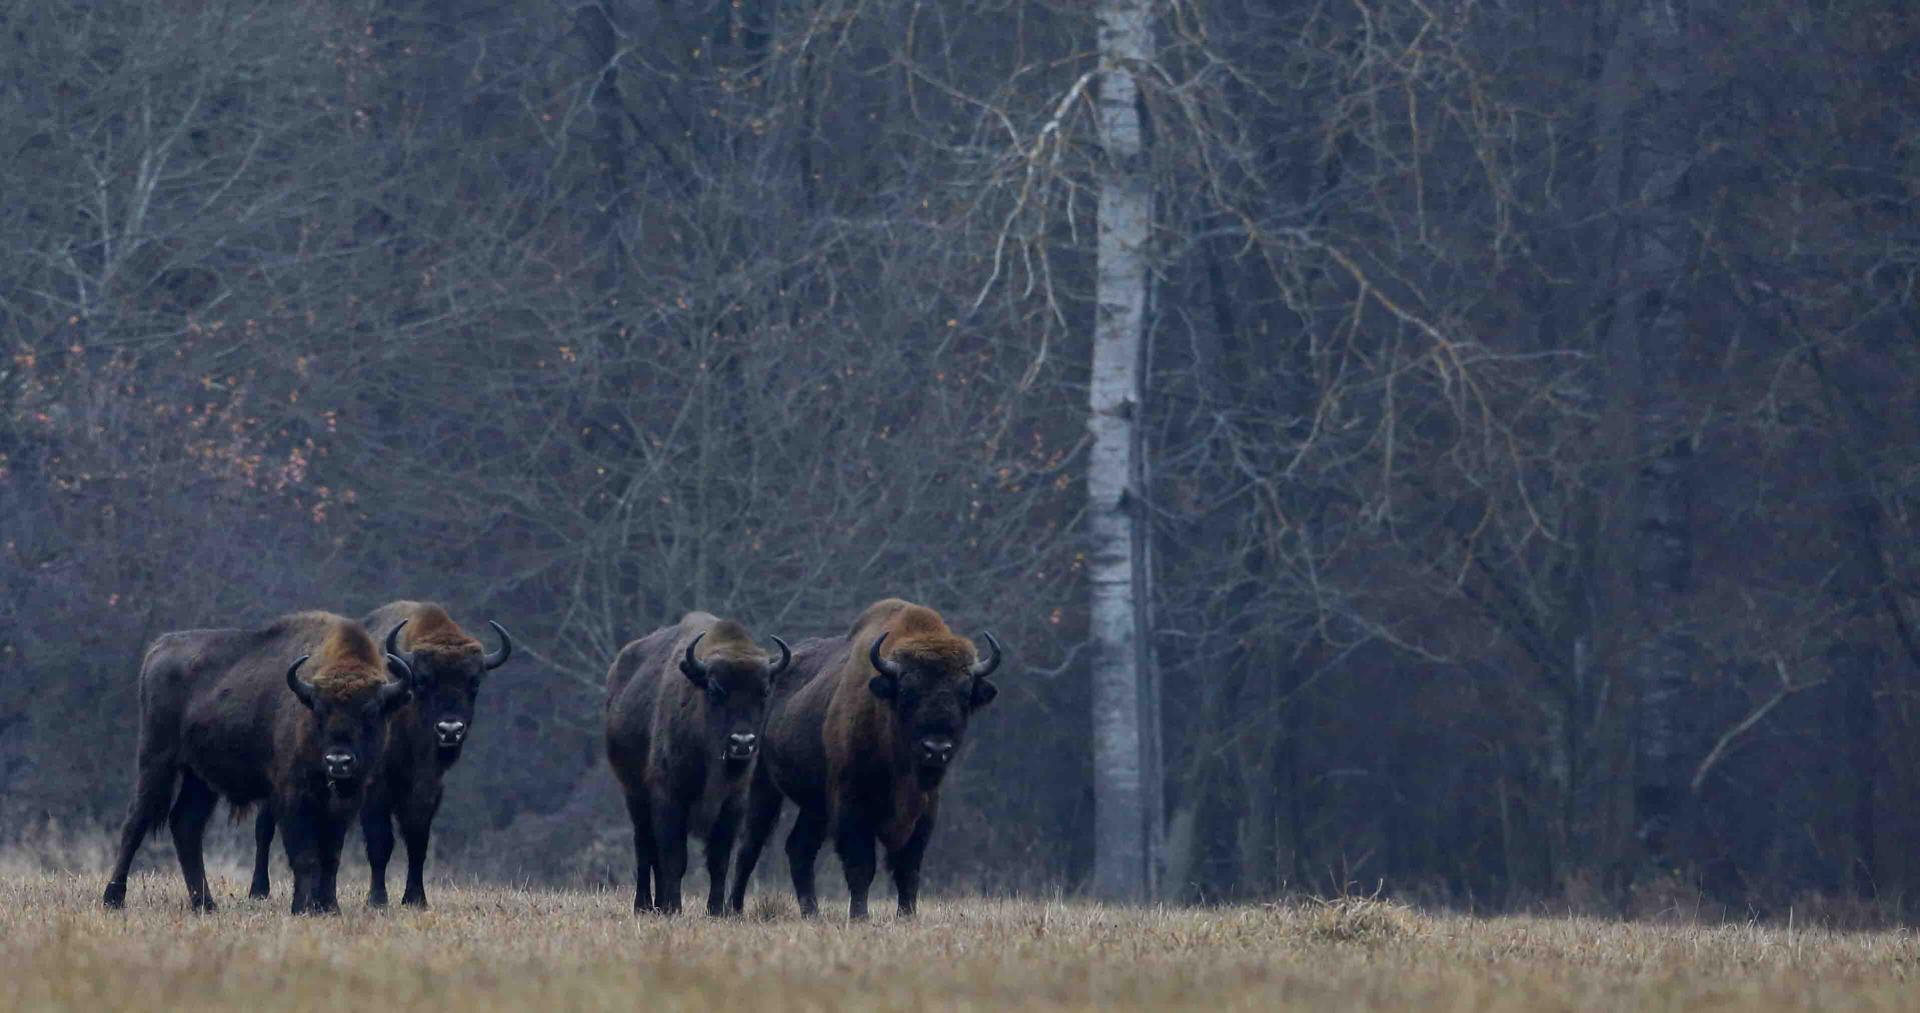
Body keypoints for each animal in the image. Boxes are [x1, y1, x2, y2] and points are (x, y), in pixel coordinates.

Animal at [101, 613, 412, 913]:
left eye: (370, 711)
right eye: (319, 710)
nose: (339, 761)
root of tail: (159, 647)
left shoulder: (344, 804)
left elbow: (331, 856)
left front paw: (329, 907)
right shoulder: (293, 796)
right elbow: (305, 856)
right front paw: (303, 907)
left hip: (199, 779)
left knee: (186, 824)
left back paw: (205, 904)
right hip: (156, 760)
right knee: (136, 821)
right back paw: (113, 898)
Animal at [247, 602, 510, 909]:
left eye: (474, 683)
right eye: (424, 681)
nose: (450, 730)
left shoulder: (428, 790)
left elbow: (417, 841)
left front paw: (415, 899)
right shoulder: (376, 789)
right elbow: (380, 842)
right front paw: (377, 899)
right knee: (264, 829)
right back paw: (259, 890)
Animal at [614, 613, 794, 913]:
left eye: (764, 691)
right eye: (714, 690)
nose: (742, 742)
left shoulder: (732, 805)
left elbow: (719, 860)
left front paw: (717, 910)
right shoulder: (670, 797)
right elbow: (674, 858)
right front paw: (674, 908)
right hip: (634, 796)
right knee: (644, 847)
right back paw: (645, 904)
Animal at [725, 598, 1006, 920]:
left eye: (964, 693)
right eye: (908, 691)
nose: (936, 749)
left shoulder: (926, 808)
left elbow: (908, 867)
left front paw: (907, 915)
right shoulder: (852, 802)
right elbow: (861, 864)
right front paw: (860, 915)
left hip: (815, 805)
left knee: (799, 848)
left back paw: (812, 912)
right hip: (763, 785)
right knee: (750, 845)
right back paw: (735, 908)